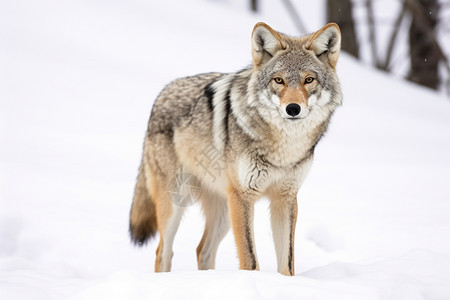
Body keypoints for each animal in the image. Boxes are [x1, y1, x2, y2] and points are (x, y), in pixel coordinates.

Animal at [128, 22, 342, 276]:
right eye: (278, 80)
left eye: (309, 80)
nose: (292, 108)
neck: (283, 149)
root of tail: (162, 94)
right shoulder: (243, 196)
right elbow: (250, 260)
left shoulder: (286, 198)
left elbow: (287, 263)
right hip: (178, 201)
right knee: (163, 251)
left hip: (224, 212)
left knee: (202, 250)